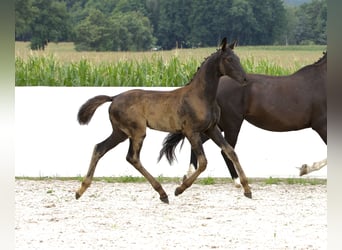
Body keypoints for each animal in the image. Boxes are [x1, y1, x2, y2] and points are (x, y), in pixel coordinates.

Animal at [75, 38, 251, 204]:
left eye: (238, 58)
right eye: (228, 59)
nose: (245, 79)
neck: (200, 97)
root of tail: (114, 97)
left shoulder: (212, 128)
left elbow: (231, 152)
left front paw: (247, 189)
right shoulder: (191, 131)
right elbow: (203, 162)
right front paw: (179, 189)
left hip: (120, 133)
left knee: (100, 148)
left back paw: (81, 190)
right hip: (137, 132)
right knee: (132, 157)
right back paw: (163, 193)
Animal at [159, 51, 328, 185]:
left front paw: (304, 168)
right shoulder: (322, 126)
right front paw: (305, 169)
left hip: (216, 126)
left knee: (199, 142)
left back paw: (188, 176)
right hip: (232, 125)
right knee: (226, 151)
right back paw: (237, 181)